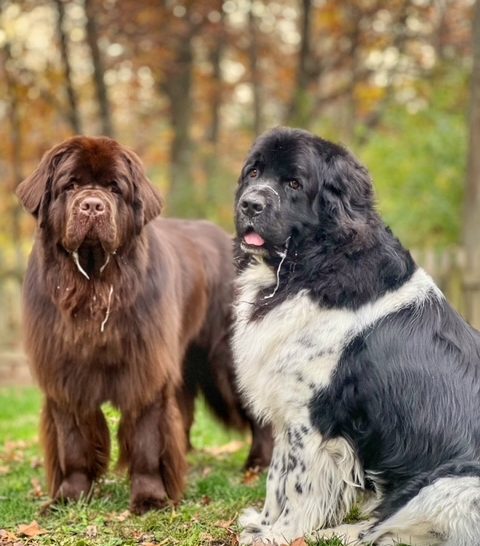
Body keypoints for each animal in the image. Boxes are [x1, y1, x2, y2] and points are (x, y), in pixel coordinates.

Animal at [16, 136, 272, 510]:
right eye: (71, 185)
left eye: (114, 188)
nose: (92, 205)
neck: (94, 287)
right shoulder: (65, 373)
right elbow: (72, 441)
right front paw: (70, 496)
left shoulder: (145, 370)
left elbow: (146, 439)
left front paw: (150, 497)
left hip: (226, 360)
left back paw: (258, 464)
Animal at [234, 125, 480, 540]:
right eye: (254, 173)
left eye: (294, 183)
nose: (250, 205)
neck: (314, 263)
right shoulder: (288, 405)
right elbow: (277, 476)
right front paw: (264, 524)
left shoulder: (310, 412)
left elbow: (297, 483)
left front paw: (279, 535)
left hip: (449, 483)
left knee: (396, 531)